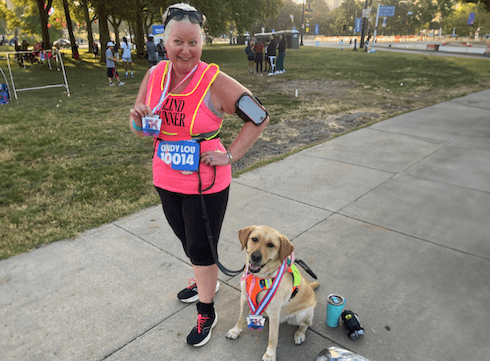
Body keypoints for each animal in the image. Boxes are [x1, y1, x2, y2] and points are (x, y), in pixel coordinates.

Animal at [225, 225, 318, 360]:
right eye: (254, 239)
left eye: (271, 245)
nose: (255, 256)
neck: (259, 277)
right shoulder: (244, 298)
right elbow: (240, 318)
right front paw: (235, 331)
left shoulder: (274, 313)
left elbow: (273, 338)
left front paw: (270, 355)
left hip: (302, 315)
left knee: (305, 325)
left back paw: (299, 334)